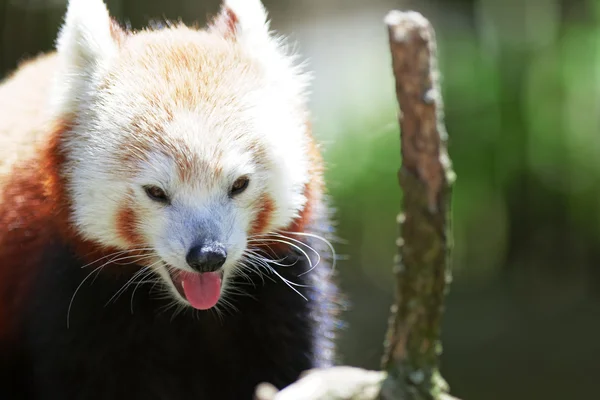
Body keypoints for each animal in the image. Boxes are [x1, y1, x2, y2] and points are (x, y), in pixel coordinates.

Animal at [0, 0, 340, 396]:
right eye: (156, 192)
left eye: (239, 184)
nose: (207, 256)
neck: (191, 313)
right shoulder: (70, 292)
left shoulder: (284, 290)